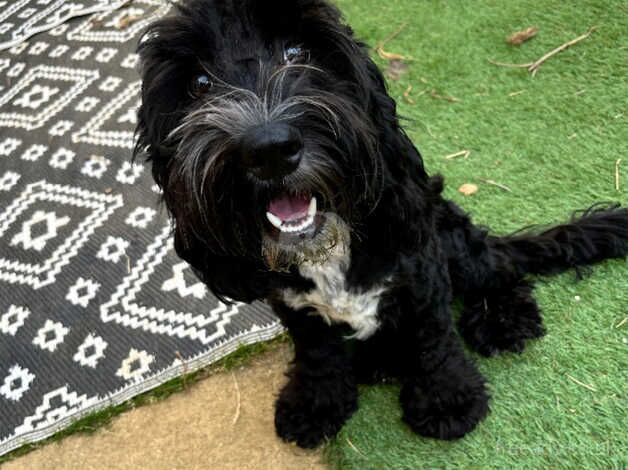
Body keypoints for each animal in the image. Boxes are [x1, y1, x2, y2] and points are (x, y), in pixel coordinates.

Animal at [135, 0, 624, 448]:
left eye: (298, 51)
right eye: (199, 83)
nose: (269, 148)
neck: (329, 250)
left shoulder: (422, 272)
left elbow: (434, 339)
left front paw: (448, 400)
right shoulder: (295, 307)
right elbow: (317, 353)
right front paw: (315, 405)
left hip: (449, 232)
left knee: (498, 266)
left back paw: (504, 319)